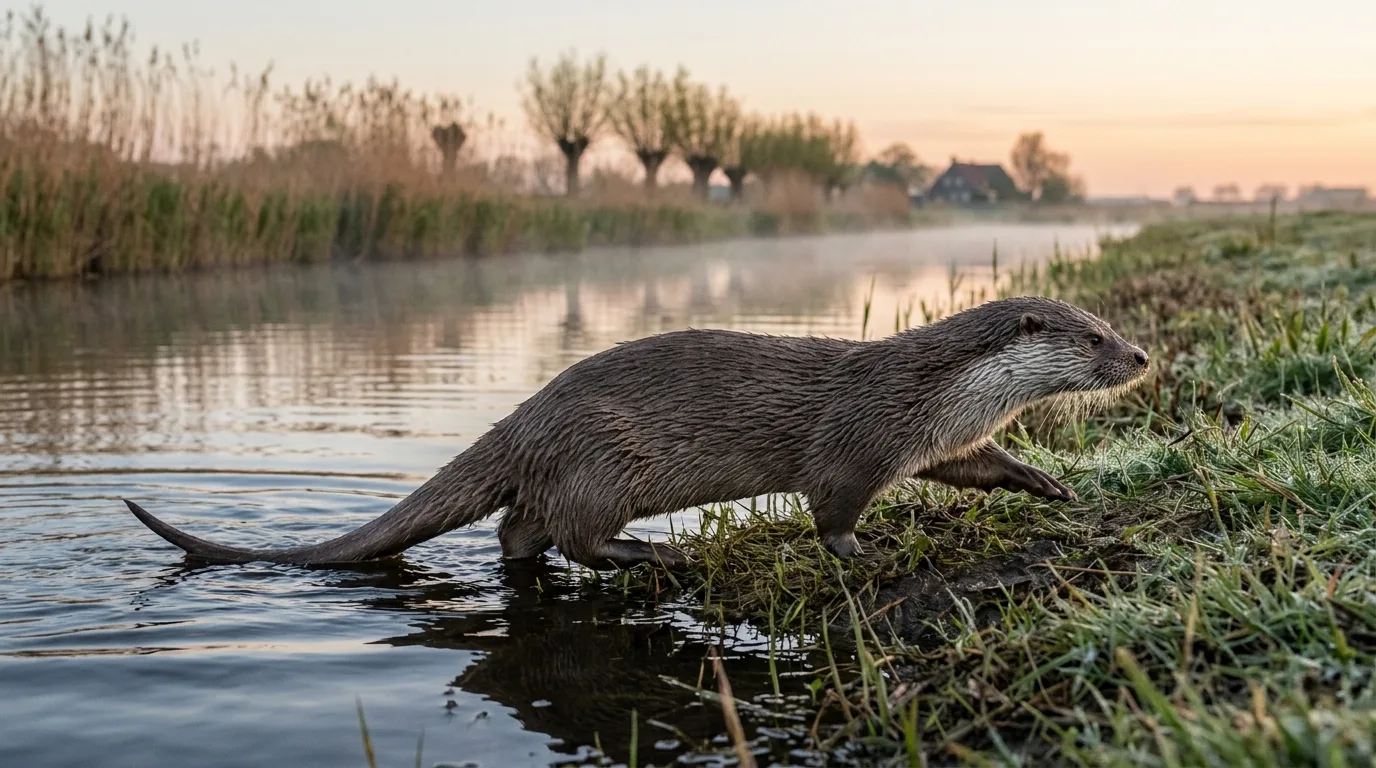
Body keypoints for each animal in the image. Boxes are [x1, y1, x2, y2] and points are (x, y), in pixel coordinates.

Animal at [123, 295, 1149, 570]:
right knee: (571, 533)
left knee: (516, 530)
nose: (1141, 356)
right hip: (605, 462)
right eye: (1093, 336)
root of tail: (526, 417)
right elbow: (832, 512)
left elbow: (983, 466)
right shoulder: (856, 446)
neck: (931, 392)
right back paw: (651, 556)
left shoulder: (939, 441)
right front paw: (864, 551)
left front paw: (1047, 483)